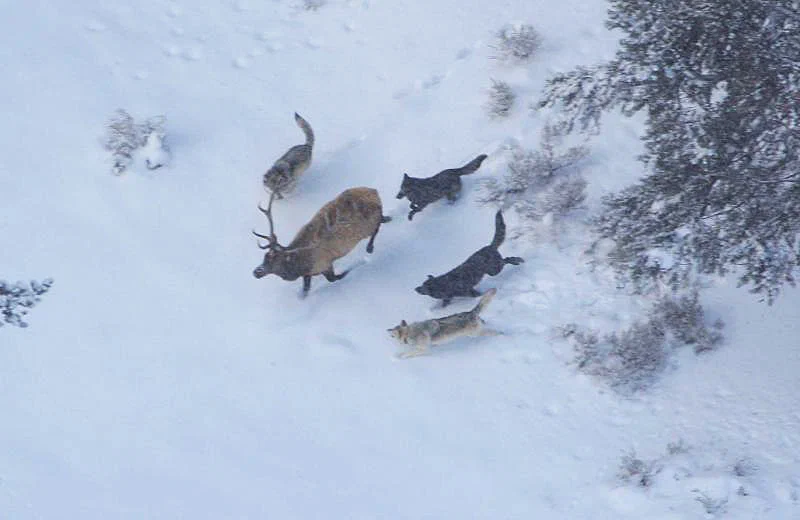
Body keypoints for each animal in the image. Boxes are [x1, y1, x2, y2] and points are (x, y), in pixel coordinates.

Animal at [252, 189, 392, 298]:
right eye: (264, 257)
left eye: (273, 260)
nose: (256, 272)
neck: (300, 264)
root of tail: (374, 191)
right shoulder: (308, 273)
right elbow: (305, 290)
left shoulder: (324, 264)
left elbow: (335, 278)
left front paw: (358, 264)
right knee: (382, 219)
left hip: (367, 225)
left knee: (376, 228)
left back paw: (370, 248)